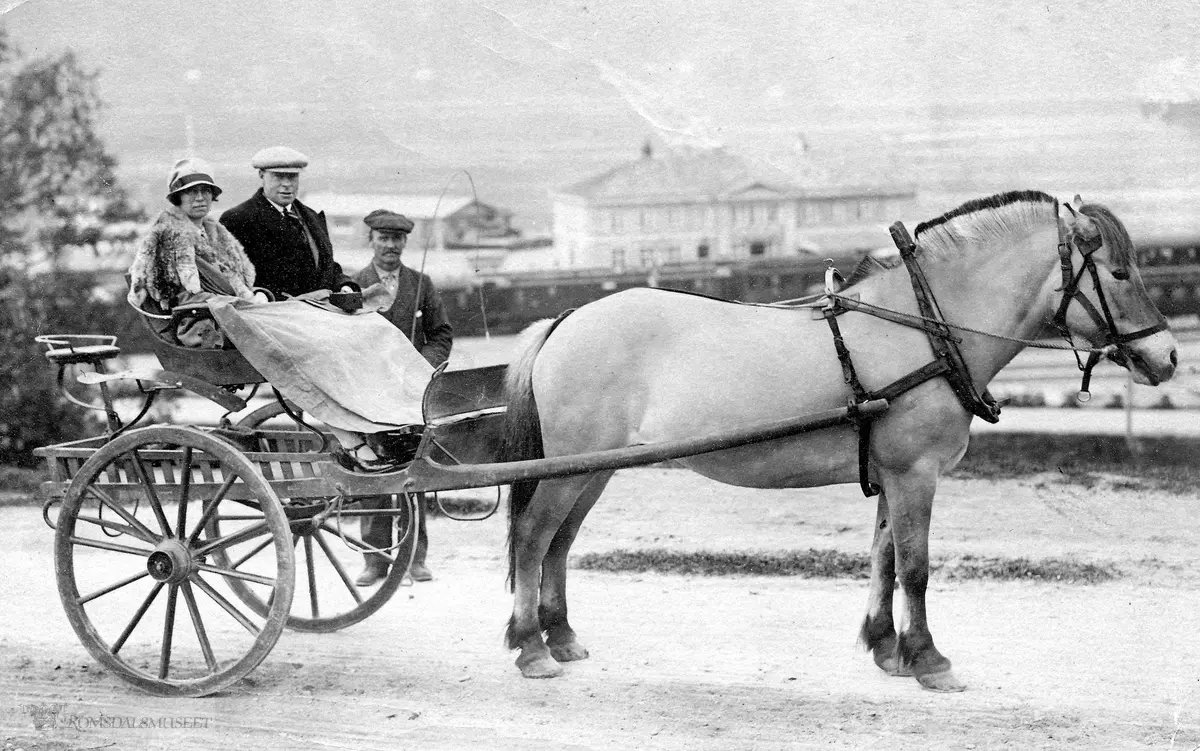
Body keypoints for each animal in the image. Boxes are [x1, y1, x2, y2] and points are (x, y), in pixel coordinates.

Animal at [499, 191, 1180, 691]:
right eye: (1120, 273)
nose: (1169, 357)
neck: (925, 327)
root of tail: (564, 320)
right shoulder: (915, 473)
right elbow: (916, 568)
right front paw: (929, 659)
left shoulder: (893, 475)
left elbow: (884, 559)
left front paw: (887, 648)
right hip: (570, 468)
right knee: (534, 539)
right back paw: (531, 647)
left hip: (594, 469)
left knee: (560, 542)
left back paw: (560, 637)